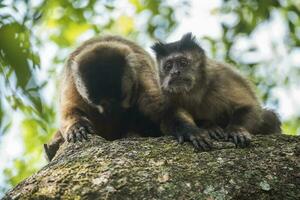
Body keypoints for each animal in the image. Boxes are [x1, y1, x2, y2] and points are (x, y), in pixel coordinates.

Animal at [152, 32, 282, 148]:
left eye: (183, 63)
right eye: (168, 66)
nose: (174, 73)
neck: (196, 90)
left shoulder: (221, 77)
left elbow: (249, 105)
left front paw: (236, 129)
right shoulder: (165, 93)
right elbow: (169, 119)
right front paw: (197, 130)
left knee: (270, 117)